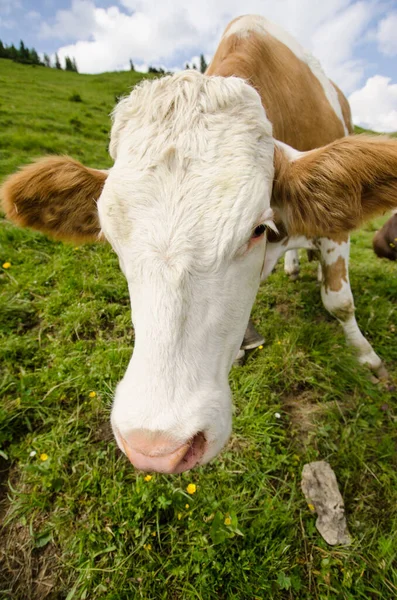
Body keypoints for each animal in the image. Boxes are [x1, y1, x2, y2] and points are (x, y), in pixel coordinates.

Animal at [2, 14, 396, 474]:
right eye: (112, 239)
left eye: (257, 229)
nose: (154, 446)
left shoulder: (334, 223)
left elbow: (340, 302)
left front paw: (366, 357)